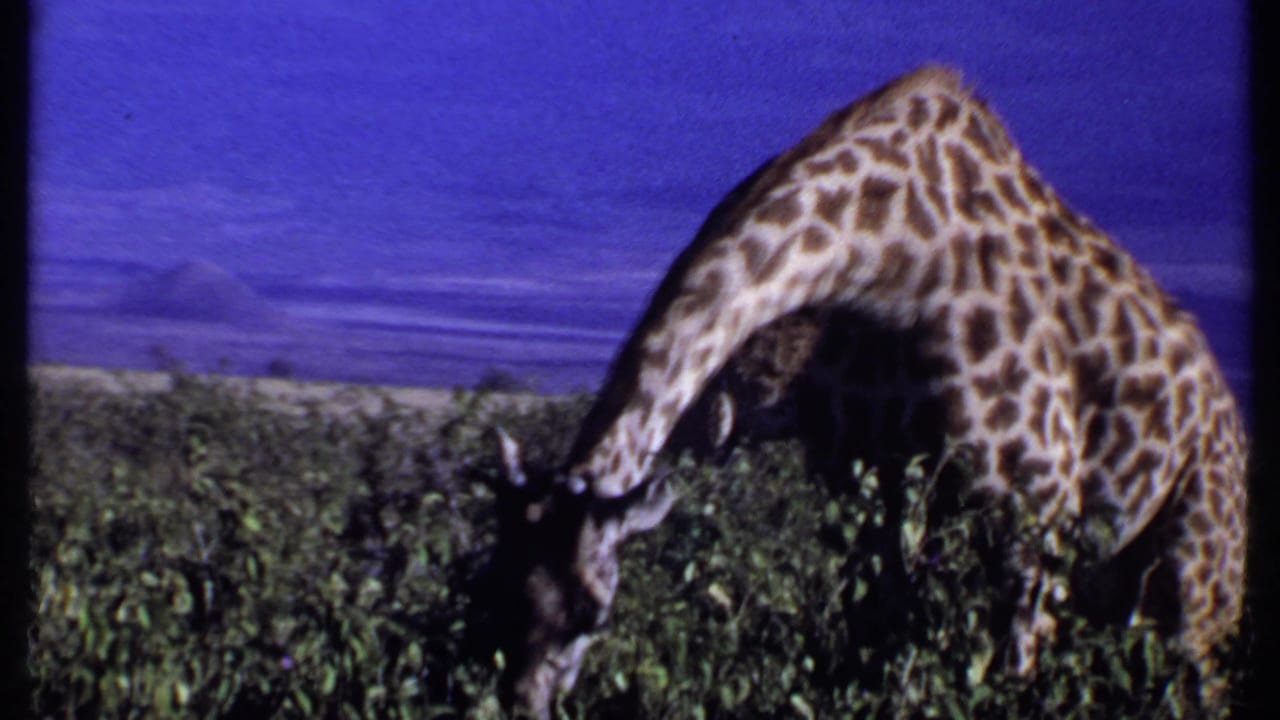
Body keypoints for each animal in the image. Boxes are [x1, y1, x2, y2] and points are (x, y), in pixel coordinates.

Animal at [487, 65, 1248, 718]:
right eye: (491, 581)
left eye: (593, 612)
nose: (524, 703)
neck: (886, 252)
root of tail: (1227, 416)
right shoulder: (870, 497)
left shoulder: (1036, 506)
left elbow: (1006, 674)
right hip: (1115, 581)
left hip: (1197, 572)